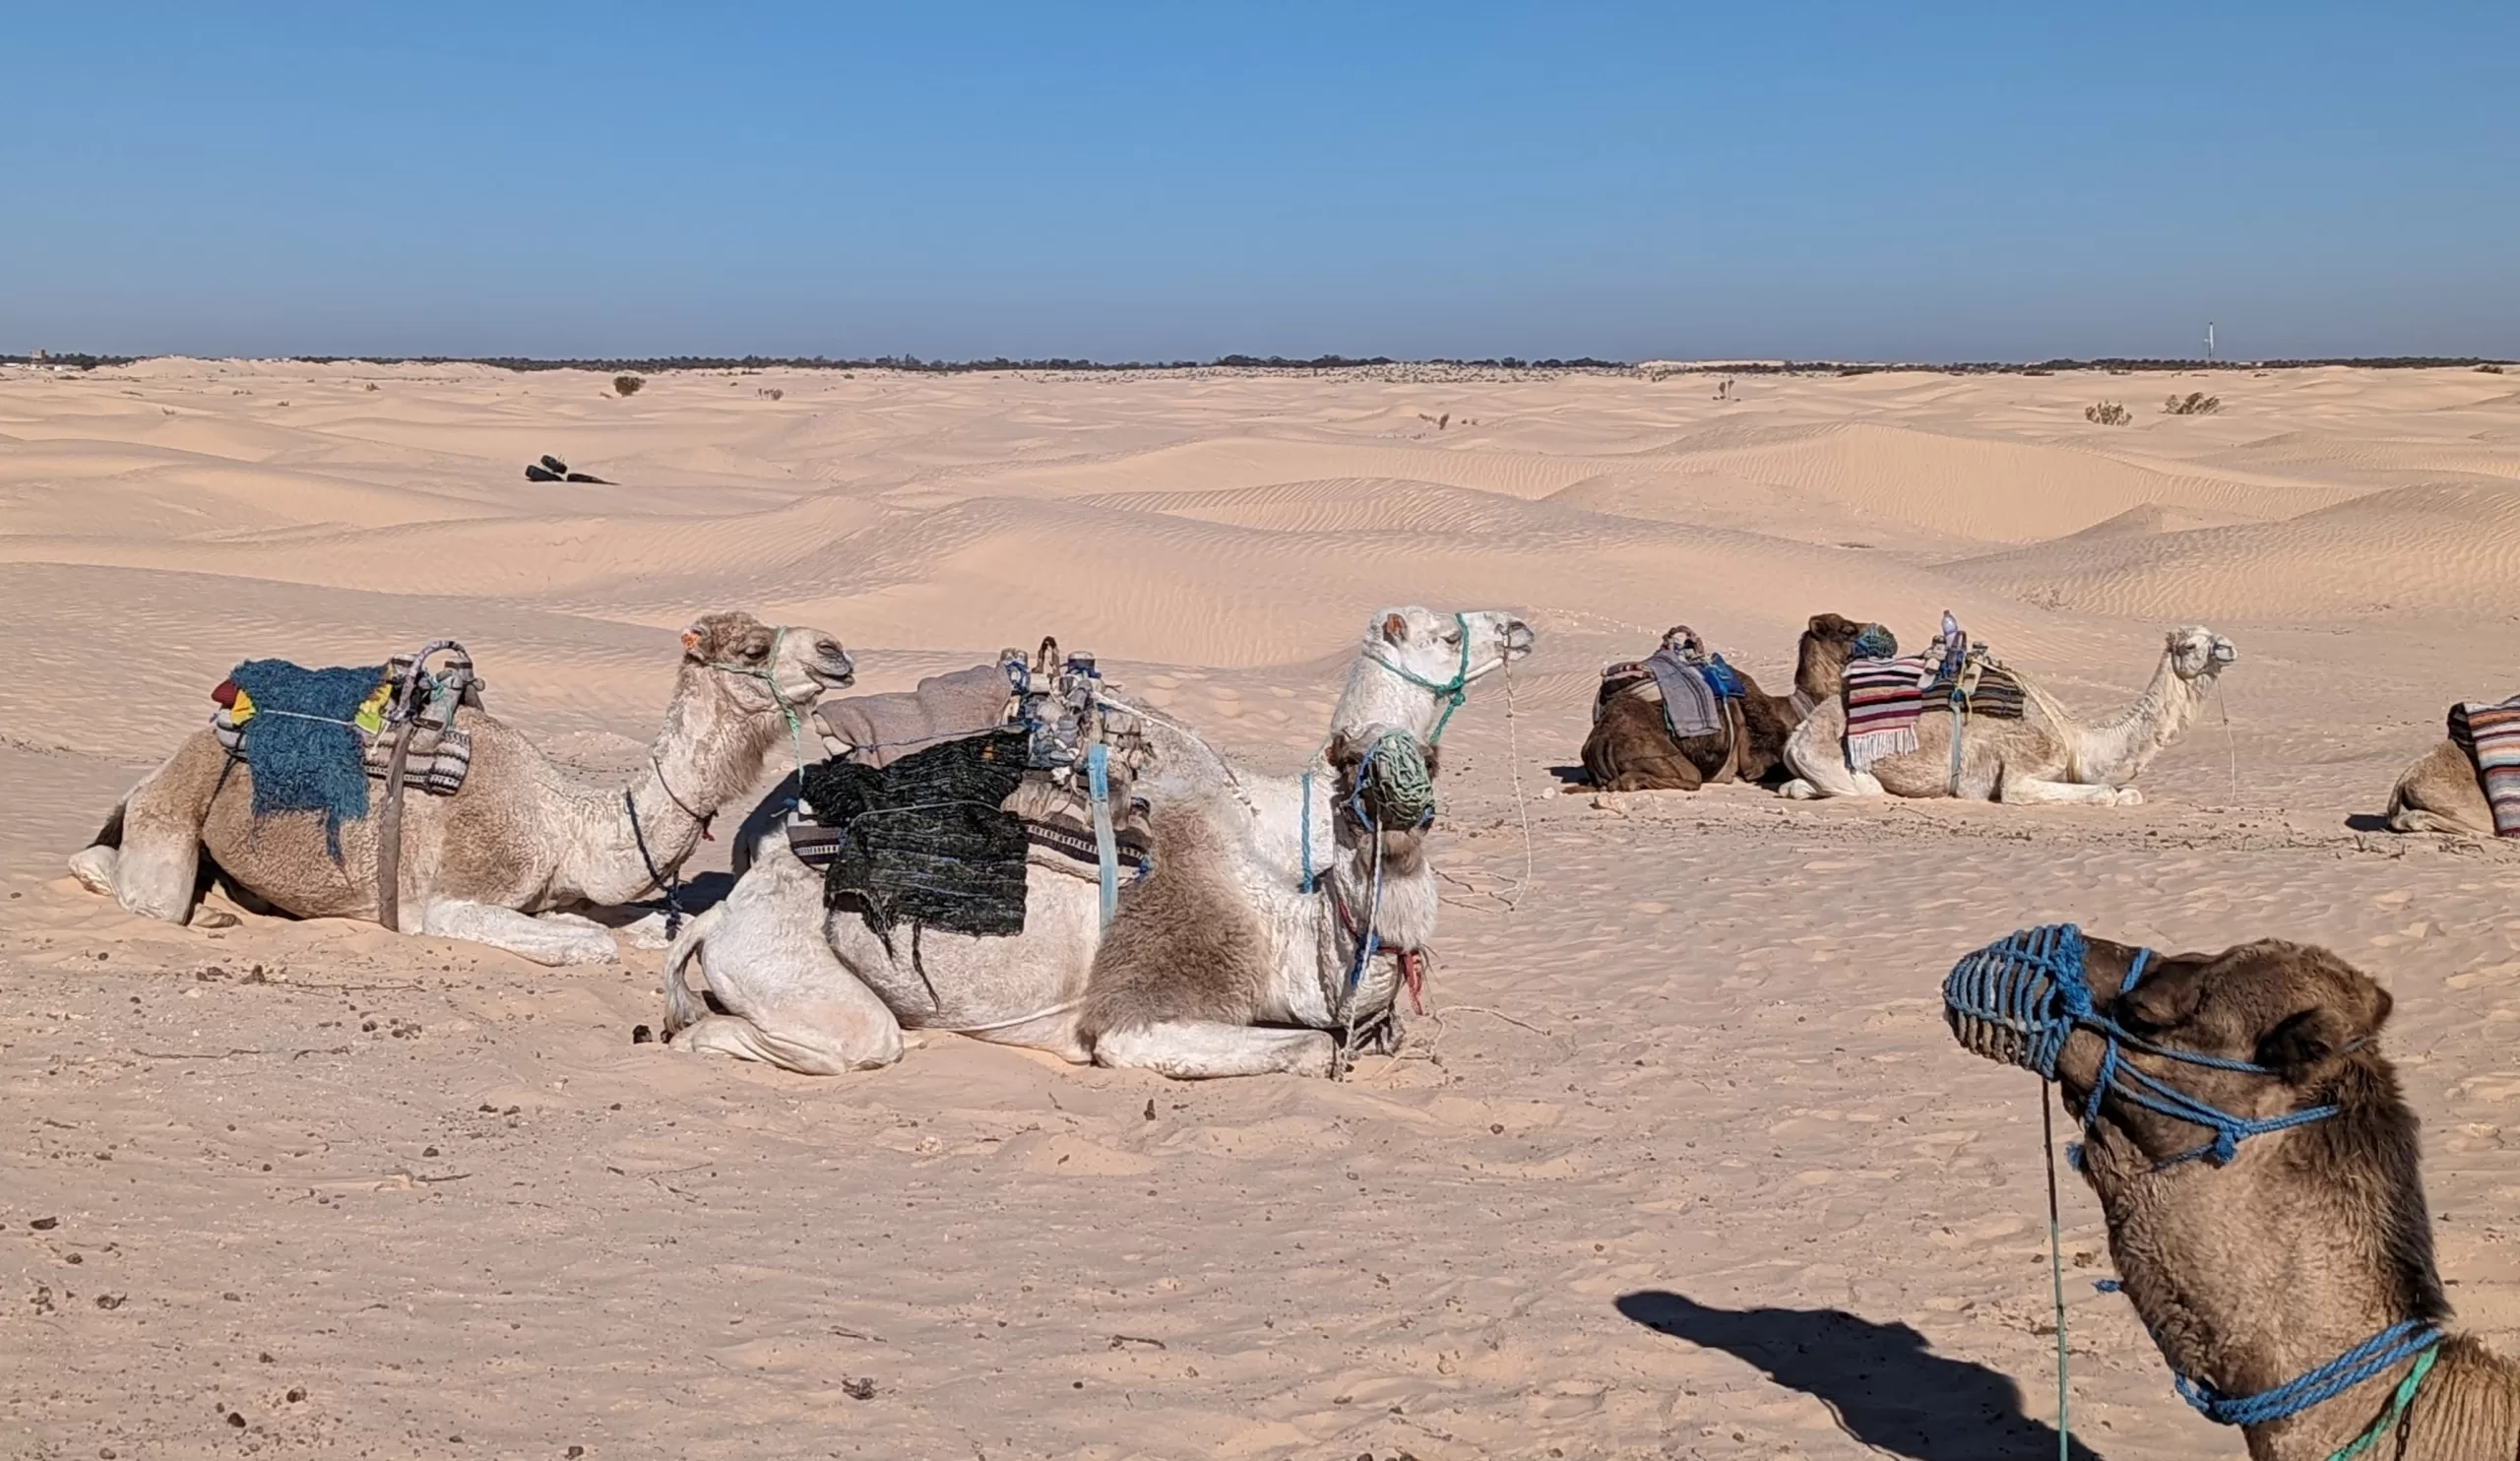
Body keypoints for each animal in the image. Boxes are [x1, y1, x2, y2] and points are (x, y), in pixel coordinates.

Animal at [66, 609, 856, 962]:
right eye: (752, 648)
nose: (837, 650)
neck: (565, 826)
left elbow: (612, 926)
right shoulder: (449, 898)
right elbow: (582, 943)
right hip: (173, 807)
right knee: (130, 882)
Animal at [655, 604, 1532, 1072]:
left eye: (1427, 764)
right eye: (1443, 636)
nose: (1518, 628)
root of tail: (724, 912)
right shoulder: (1136, 1012)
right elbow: (1313, 1048)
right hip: (794, 971)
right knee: (837, 1035)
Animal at [1784, 624, 2237, 805]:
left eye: (2214, 634)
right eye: (2191, 646)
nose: (2229, 647)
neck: (2077, 742)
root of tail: (1800, 731)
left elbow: (2126, 793)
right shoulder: (2021, 774)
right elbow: (2103, 794)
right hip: (1831, 757)